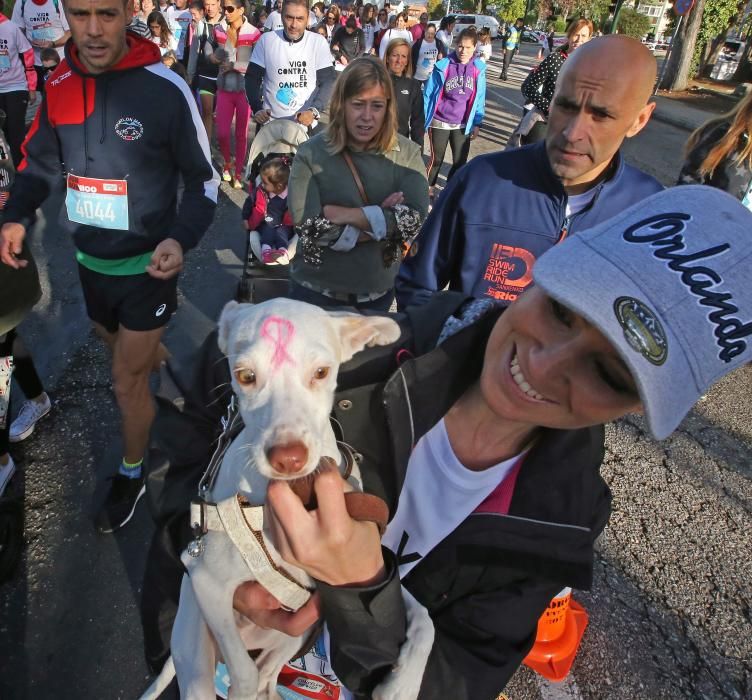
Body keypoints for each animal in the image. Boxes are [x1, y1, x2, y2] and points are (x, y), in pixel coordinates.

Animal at [141, 298, 434, 696]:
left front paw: (401, 686)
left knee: (267, 677)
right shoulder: (208, 583)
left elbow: (424, 615)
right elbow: (243, 676)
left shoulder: (362, 569)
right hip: (195, 638)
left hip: (294, 636)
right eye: (245, 376)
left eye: (322, 372)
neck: (297, 493)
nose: (288, 457)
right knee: (236, 677)